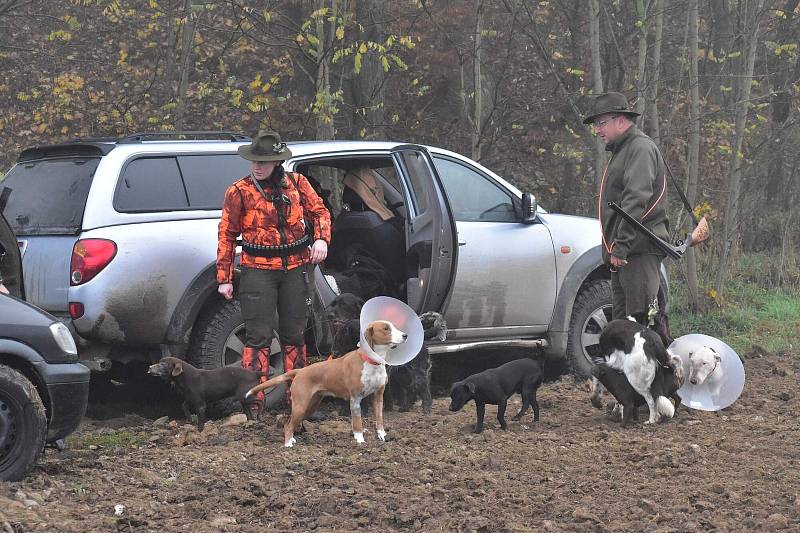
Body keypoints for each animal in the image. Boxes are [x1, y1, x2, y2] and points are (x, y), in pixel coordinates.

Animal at [245, 318, 410, 446]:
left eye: (393, 326)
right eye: (385, 328)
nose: (405, 335)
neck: (372, 362)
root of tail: (299, 372)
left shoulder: (378, 397)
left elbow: (379, 420)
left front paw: (382, 436)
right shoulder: (355, 399)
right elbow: (357, 423)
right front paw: (360, 441)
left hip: (310, 406)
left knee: (290, 423)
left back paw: (291, 440)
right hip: (301, 405)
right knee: (287, 425)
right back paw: (287, 445)